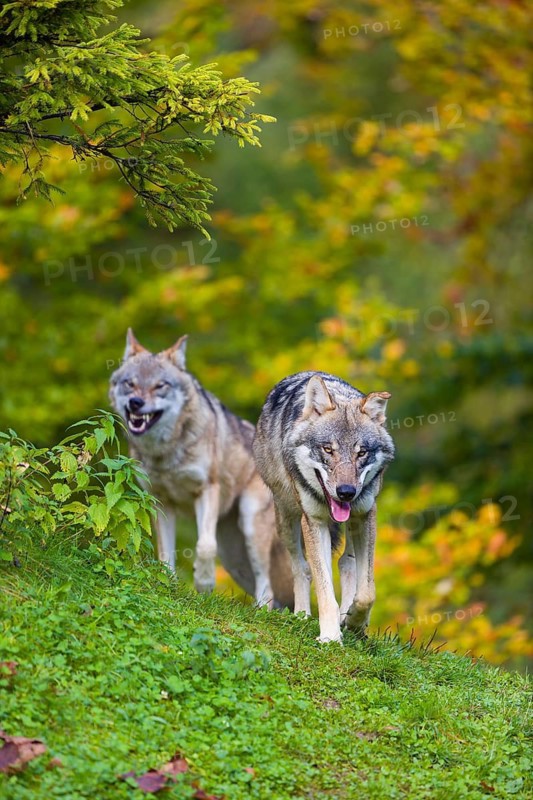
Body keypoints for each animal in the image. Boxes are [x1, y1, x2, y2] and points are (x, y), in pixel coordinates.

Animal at [109, 329, 293, 608]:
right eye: (130, 383)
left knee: (268, 584)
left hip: (250, 525)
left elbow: (205, 545)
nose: (135, 403)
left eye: (160, 385)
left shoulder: (207, 490)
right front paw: (168, 586)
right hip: (235, 559)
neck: (167, 452)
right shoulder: (161, 502)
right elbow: (165, 553)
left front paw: (204, 584)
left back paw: (263, 610)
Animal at [253, 371, 395, 642]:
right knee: (303, 568)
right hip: (286, 519)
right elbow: (324, 586)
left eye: (361, 453)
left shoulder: (366, 514)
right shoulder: (314, 521)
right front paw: (329, 636)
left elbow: (367, 591)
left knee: (346, 563)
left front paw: (355, 622)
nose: (346, 492)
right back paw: (302, 614)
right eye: (328, 449)